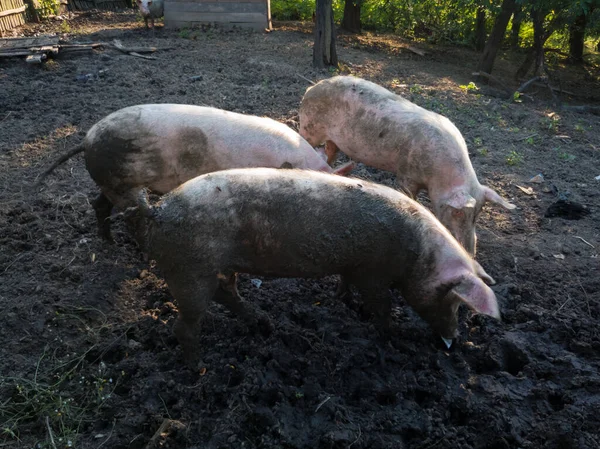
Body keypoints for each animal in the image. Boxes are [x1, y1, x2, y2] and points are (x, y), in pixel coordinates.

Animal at [36, 103, 356, 242]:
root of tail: (87, 139)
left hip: (110, 183)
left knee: (99, 204)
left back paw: (108, 241)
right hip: (121, 183)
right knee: (127, 214)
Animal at [137, 168, 502, 360]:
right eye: (455, 301)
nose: (452, 341)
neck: (418, 254)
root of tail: (157, 211)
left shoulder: (355, 266)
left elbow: (345, 283)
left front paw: (343, 300)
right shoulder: (373, 272)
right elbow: (381, 306)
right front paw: (392, 336)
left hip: (209, 269)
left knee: (226, 294)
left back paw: (263, 323)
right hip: (189, 269)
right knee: (185, 325)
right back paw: (199, 366)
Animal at [300, 75, 516, 254]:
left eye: (477, 214)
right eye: (457, 212)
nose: (470, 253)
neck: (438, 176)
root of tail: (312, 87)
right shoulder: (406, 174)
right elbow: (409, 196)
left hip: (333, 141)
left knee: (330, 153)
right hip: (309, 127)